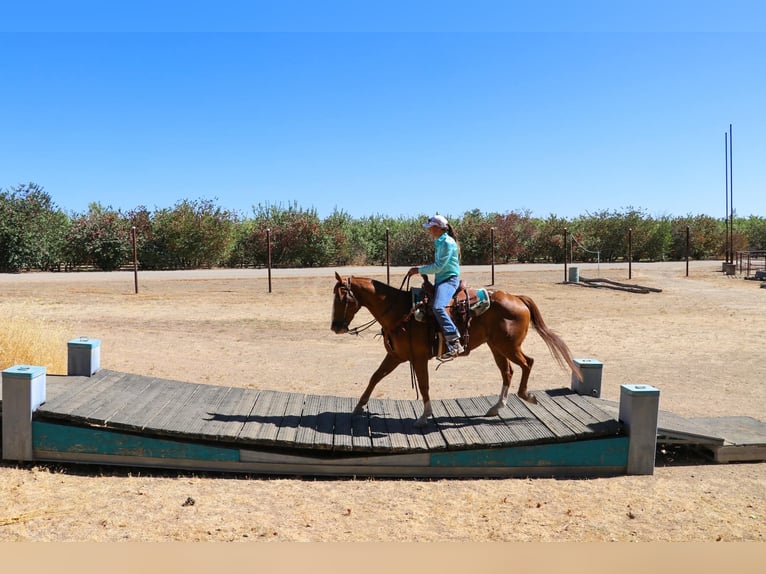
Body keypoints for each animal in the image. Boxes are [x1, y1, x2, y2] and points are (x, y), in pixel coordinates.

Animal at [331, 272, 583, 427]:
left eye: (343, 298)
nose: (335, 327)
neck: (401, 311)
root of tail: (517, 298)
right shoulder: (395, 356)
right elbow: (375, 377)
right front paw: (359, 407)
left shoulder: (418, 358)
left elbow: (424, 385)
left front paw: (424, 416)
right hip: (496, 347)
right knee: (508, 371)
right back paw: (496, 407)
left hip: (508, 346)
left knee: (527, 363)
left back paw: (526, 396)